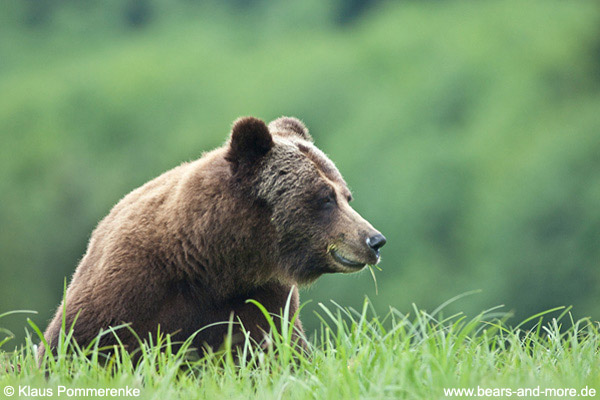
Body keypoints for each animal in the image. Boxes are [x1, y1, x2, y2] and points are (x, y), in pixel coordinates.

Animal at [38, 115, 384, 360]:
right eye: (325, 198)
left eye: (346, 195)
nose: (374, 240)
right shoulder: (128, 289)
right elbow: (74, 347)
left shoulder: (261, 301)